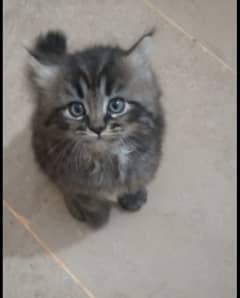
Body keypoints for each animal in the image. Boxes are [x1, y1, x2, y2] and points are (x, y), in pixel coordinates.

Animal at [26, 29, 165, 227]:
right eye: (76, 109)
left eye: (116, 105)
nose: (97, 128)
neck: (106, 158)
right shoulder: (68, 171)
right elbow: (87, 197)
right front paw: (96, 216)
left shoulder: (147, 156)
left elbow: (136, 177)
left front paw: (133, 195)